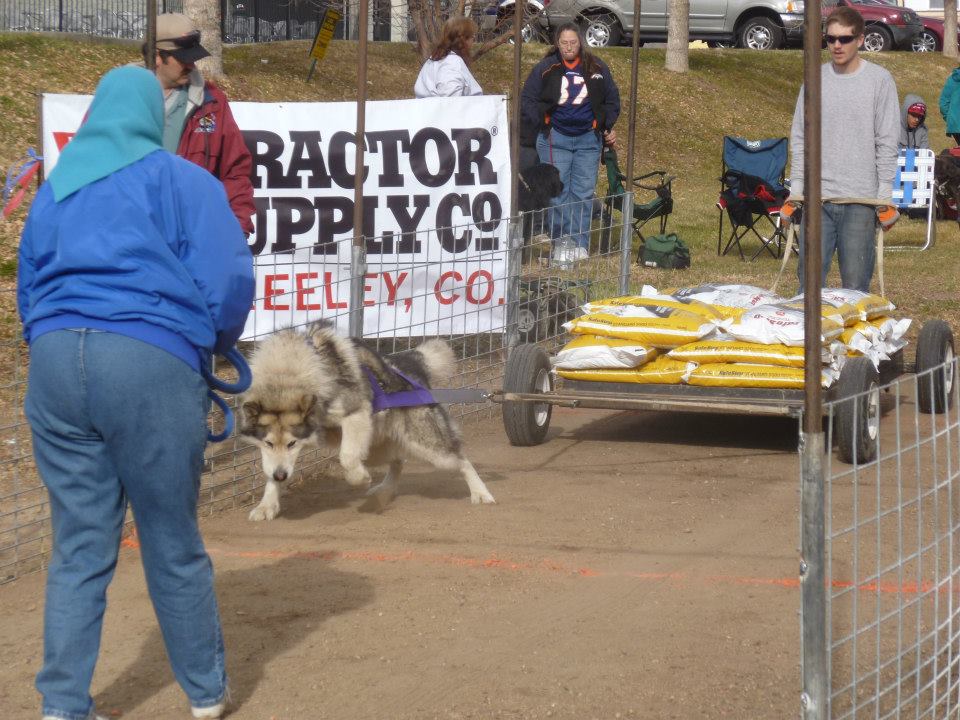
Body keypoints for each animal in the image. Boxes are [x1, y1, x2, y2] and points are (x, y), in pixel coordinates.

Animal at [238, 324, 496, 520]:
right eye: (268, 443)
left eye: (292, 443)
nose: (281, 476)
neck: (285, 376)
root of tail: (409, 363)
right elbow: (269, 470)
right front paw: (267, 504)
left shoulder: (355, 415)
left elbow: (347, 457)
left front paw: (358, 478)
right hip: (376, 449)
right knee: (398, 461)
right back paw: (385, 490)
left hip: (429, 448)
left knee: (461, 460)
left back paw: (481, 493)